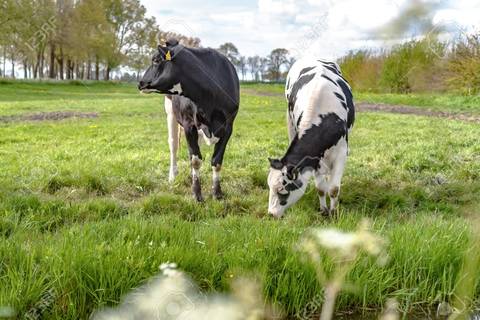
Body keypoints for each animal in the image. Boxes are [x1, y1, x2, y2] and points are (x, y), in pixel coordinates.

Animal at [139, 38, 240, 201]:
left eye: (155, 60)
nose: (141, 82)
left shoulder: (228, 127)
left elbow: (216, 161)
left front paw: (217, 193)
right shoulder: (188, 124)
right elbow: (196, 160)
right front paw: (197, 194)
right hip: (170, 112)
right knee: (173, 145)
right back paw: (173, 176)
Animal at [268, 58, 354, 218]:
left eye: (282, 190)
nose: (271, 214)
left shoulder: (341, 153)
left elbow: (333, 189)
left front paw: (334, 213)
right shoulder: (314, 159)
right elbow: (321, 188)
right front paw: (324, 210)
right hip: (289, 121)